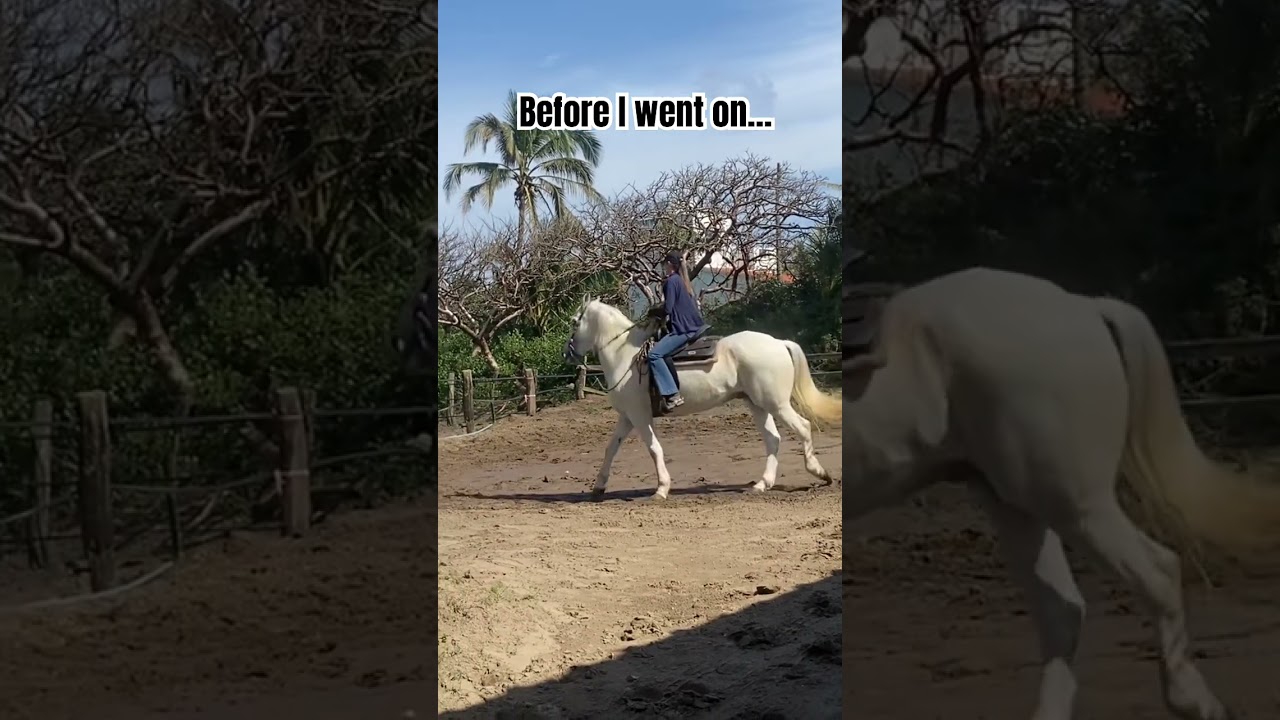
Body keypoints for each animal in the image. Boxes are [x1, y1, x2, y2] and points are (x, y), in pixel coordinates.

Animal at [563, 296, 842, 500]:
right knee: (773, 439)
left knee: (803, 427)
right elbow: (611, 448)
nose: (567, 354)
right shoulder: (628, 417)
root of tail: (778, 342)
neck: (626, 356)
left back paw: (819, 472)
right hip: (757, 404)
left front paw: (661, 489)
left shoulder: (641, 417)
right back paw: (763, 484)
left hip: (777, 404)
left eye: (575, 322)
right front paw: (598, 487)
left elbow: (654, 449)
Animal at [846, 267, 1280, 720]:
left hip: (1074, 504)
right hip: (1016, 503)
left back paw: (1191, 699)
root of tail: (1084, 307)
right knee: (1063, 611)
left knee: (1157, 571)